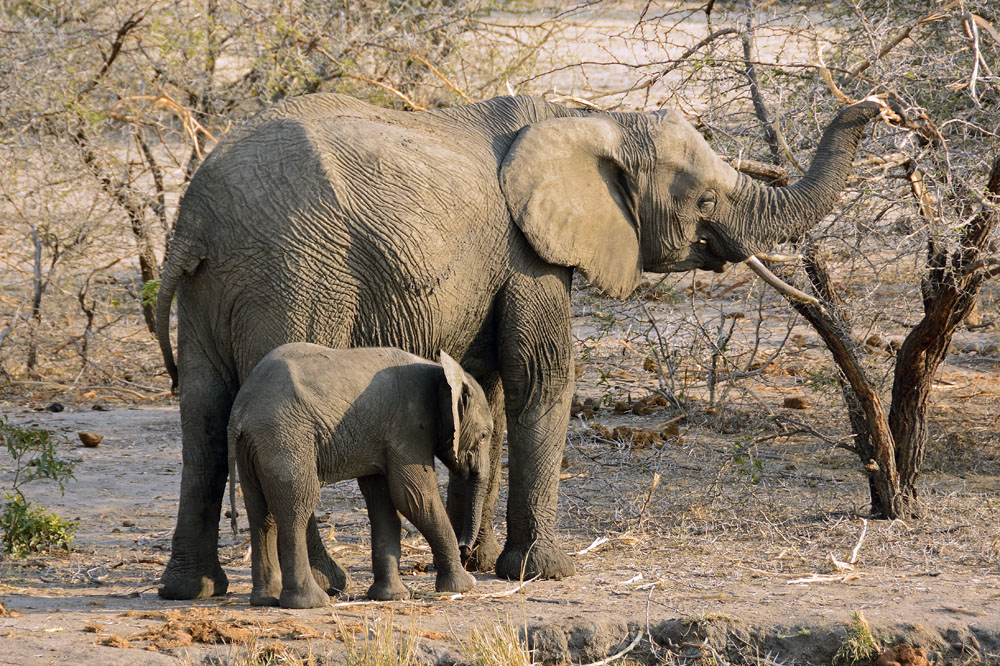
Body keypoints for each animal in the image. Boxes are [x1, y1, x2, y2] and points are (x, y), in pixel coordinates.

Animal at [227, 344, 492, 608]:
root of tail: (240, 410)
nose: (465, 548)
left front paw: (391, 596)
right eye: (484, 435)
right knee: (297, 508)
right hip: (285, 440)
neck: (440, 370)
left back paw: (264, 599)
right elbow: (414, 498)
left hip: (253, 448)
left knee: (261, 514)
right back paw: (311, 602)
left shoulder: (382, 436)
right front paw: (464, 586)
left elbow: (384, 502)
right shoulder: (407, 429)